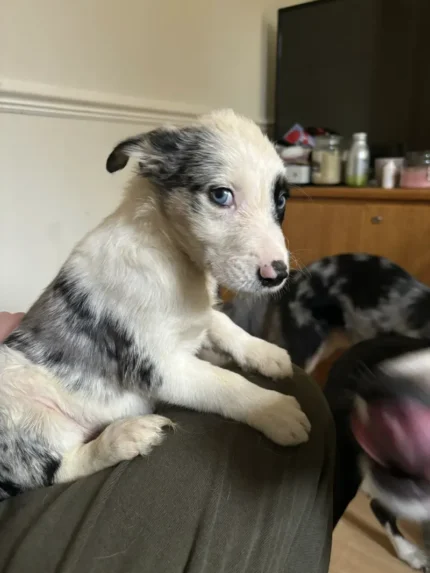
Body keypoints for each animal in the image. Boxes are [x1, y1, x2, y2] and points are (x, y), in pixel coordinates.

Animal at [0, 110, 310, 500]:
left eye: (281, 199)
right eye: (221, 195)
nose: (277, 275)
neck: (172, 256)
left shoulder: (197, 316)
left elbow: (221, 323)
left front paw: (264, 353)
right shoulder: (162, 367)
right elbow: (226, 383)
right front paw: (275, 409)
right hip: (20, 408)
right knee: (50, 471)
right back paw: (126, 436)